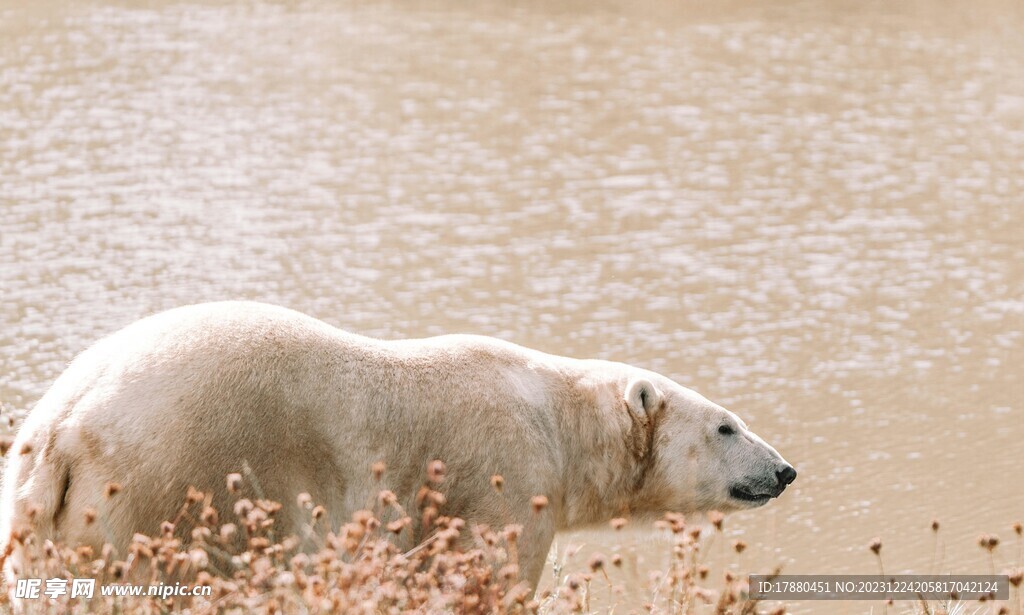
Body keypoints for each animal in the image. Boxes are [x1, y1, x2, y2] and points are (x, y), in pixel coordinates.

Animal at [0, 300, 794, 589]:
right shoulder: (503, 474)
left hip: (47, 513)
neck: (557, 416)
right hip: (171, 479)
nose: (785, 469)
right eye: (726, 425)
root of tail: (60, 427)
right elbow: (484, 573)